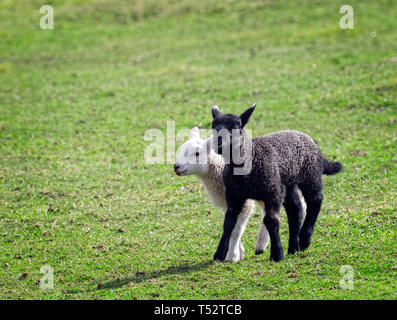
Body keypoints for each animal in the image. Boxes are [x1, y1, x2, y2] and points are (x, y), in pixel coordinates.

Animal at [173, 126, 270, 262]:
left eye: (197, 153)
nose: (176, 166)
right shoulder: (226, 203)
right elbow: (230, 226)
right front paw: (240, 252)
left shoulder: (244, 203)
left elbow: (235, 230)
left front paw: (232, 256)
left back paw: (261, 244)